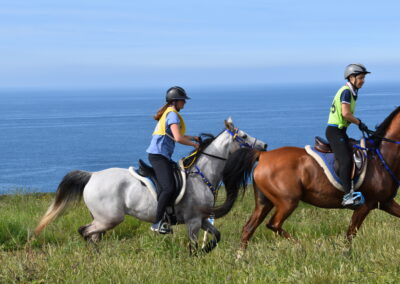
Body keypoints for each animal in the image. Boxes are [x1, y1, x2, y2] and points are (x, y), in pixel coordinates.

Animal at [34, 117, 266, 253]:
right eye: (243, 135)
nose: (264, 145)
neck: (202, 175)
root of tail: (92, 176)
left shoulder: (201, 218)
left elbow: (216, 236)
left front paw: (207, 249)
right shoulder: (192, 221)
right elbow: (192, 245)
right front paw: (197, 257)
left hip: (102, 218)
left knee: (92, 235)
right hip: (110, 218)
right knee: (85, 231)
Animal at [209, 106, 400, 253]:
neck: (381, 157)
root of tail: (263, 155)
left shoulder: (385, 202)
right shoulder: (365, 206)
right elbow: (350, 234)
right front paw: (345, 254)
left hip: (264, 202)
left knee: (249, 228)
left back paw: (240, 258)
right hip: (287, 201)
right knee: (273, 224)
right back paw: (301, 247)